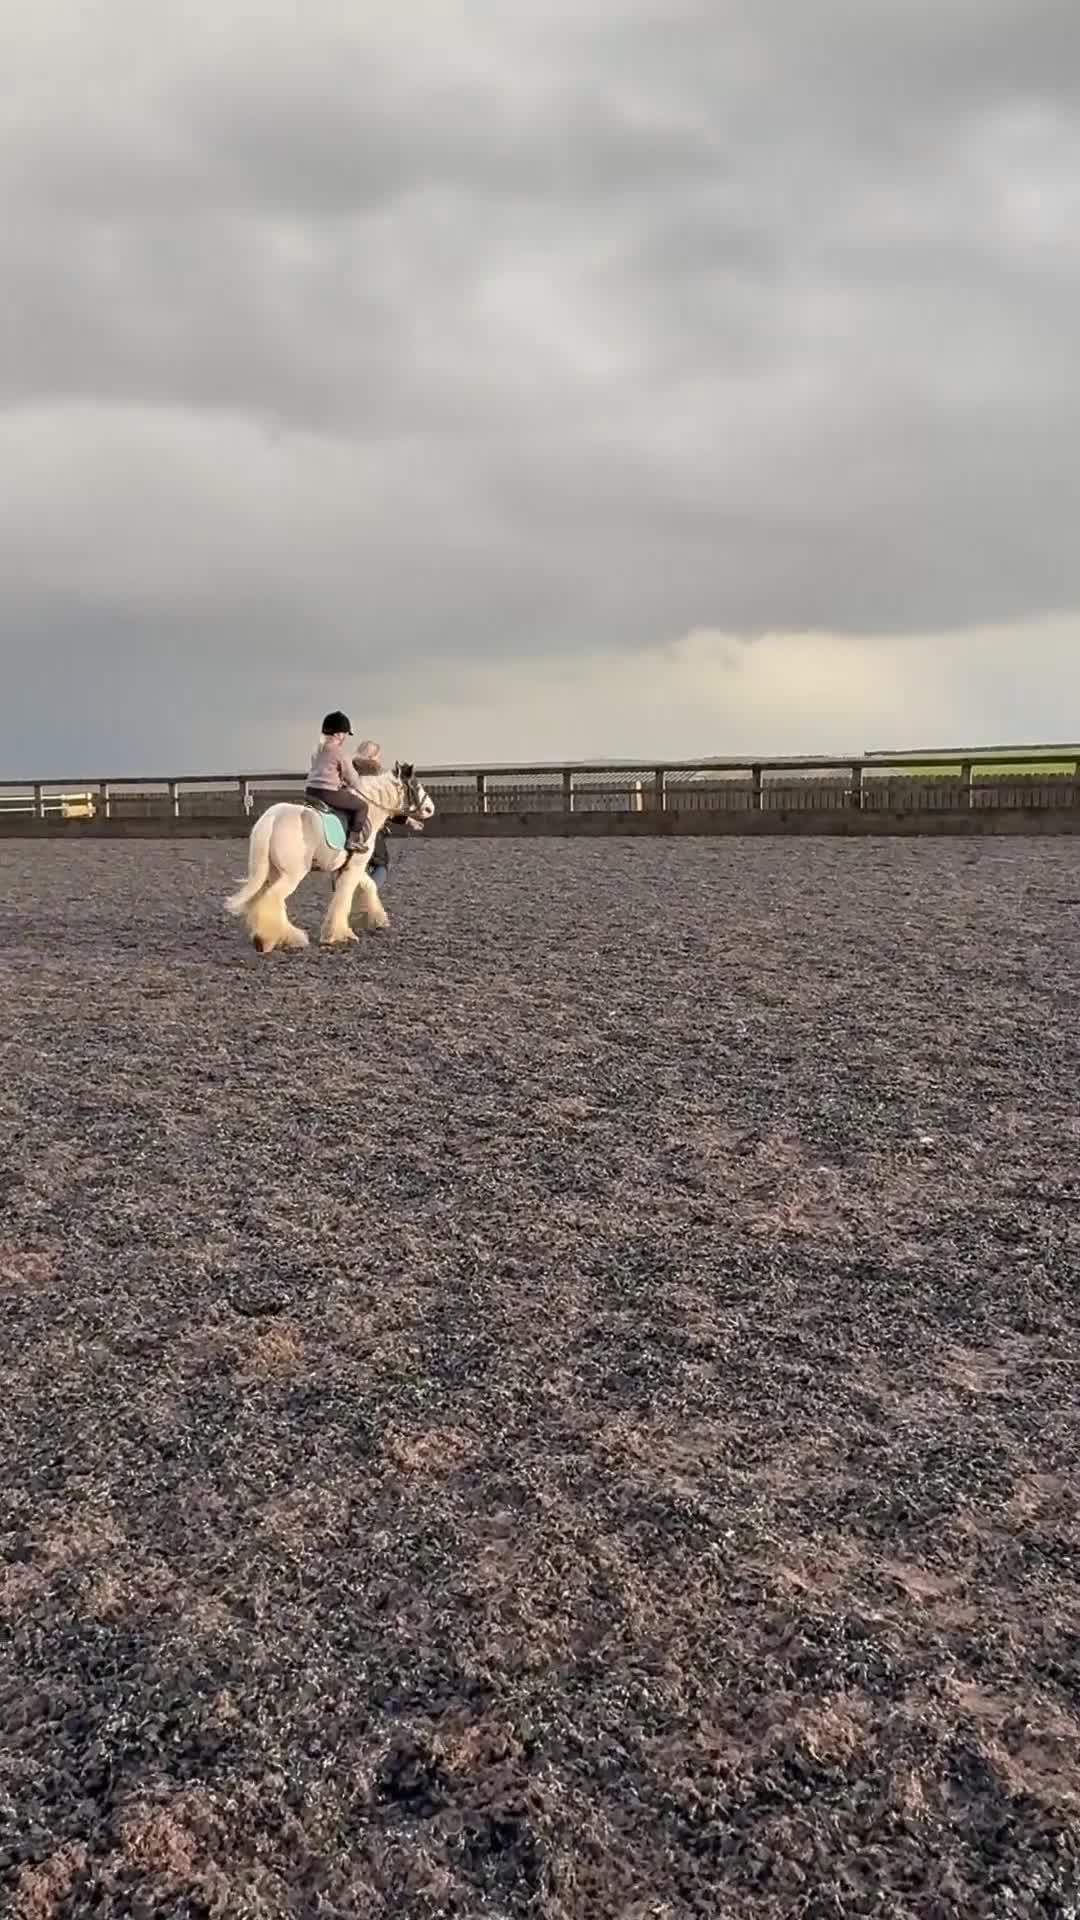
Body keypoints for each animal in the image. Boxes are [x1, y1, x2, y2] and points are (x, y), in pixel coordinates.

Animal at [224, 763, 435, 953]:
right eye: (415, 785)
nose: (430, 809)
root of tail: (273, 817)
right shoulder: (355, 865)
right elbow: (344, 896)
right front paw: (339, 934)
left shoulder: (348, 866)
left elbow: (368, 886)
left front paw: (377, 919)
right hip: (291, 875)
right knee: (272, 898)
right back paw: (272, 939)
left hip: (272, 872)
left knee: (264, 899)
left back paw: (283, 936)